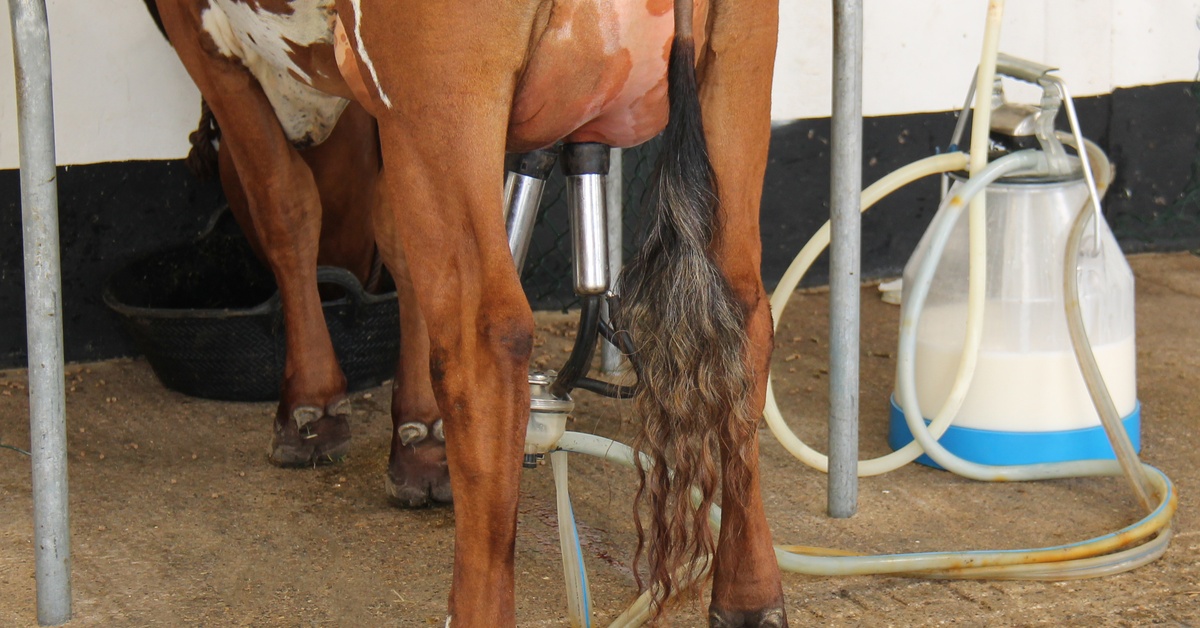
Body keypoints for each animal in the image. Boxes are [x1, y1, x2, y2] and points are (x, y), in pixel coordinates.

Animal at [149, 0, 784, 624]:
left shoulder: (206, 41)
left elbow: (284, 204)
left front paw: (311, 410)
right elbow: (391, 231)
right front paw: (421, 444)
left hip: (440, 95)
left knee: (485, 336)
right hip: (740, 67)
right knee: (746, 312)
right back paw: (749, 595)